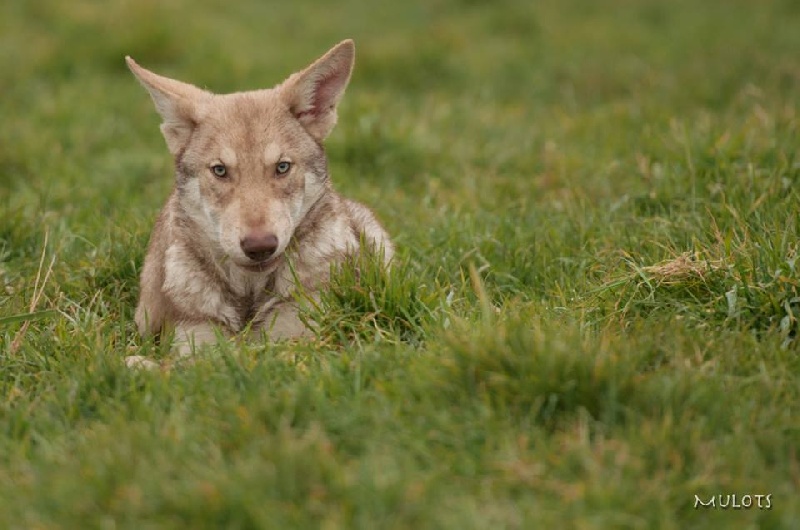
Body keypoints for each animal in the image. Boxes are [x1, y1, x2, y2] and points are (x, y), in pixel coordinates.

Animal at [124, 40, 393, 368]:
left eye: (282, 167)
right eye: (220, 170)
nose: (260, 246)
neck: (248, 295)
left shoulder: (304, 338)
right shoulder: (195, 338)